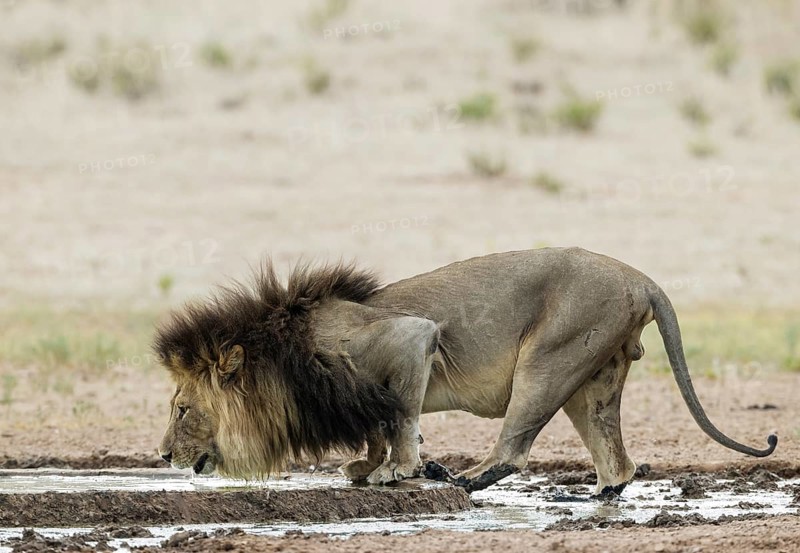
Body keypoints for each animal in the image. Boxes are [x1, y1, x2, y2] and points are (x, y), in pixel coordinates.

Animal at [155, 248, 776, 495]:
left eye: (182, 410)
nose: (160, 455)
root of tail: (641, 277)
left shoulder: (412, 339)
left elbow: (401, 418)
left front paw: (399, 470)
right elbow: (379, 426)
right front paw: (367, 467)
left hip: (547, 358)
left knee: (513, 451)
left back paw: (453, 477)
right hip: (592, 377)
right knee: (616, 462)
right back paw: (593, 498)